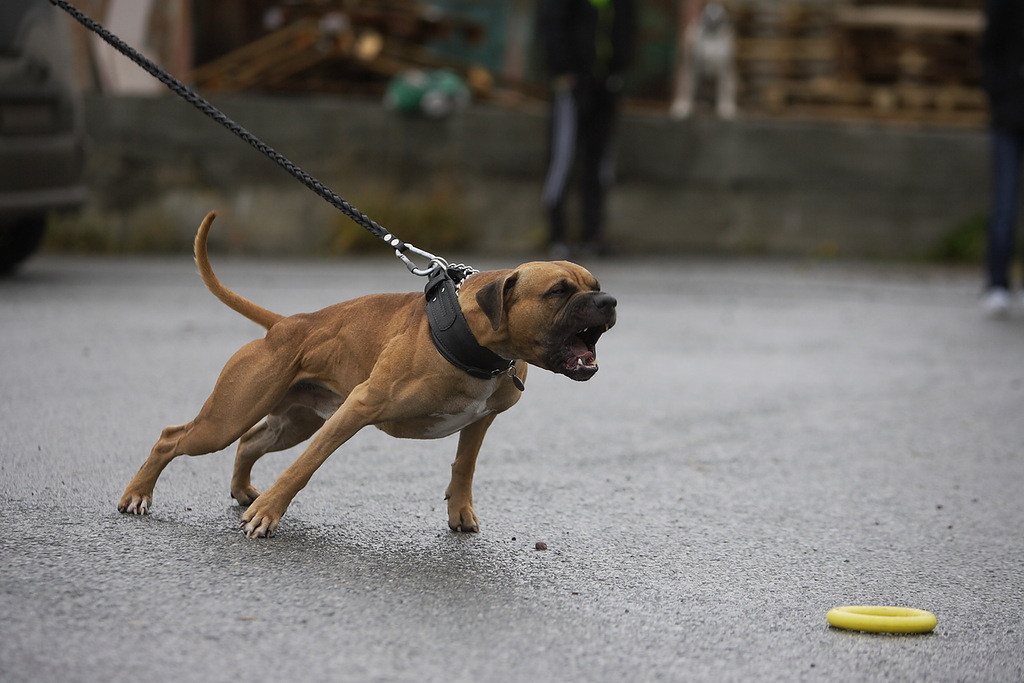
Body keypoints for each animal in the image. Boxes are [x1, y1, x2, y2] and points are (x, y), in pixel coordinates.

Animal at [119, 210, 614, 536]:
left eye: (595, 285)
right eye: (559, 291)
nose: (609, 301)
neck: (476, 338)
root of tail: (285, 324)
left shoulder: (479, 420)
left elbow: (464, 465)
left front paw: (459, 512)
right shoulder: (357, 409)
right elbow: (304, 468)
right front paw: (270, 512)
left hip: (295, 420)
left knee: (250, 442)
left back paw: (243, 491)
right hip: (228, 417)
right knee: (173, 437)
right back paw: (138, 494)